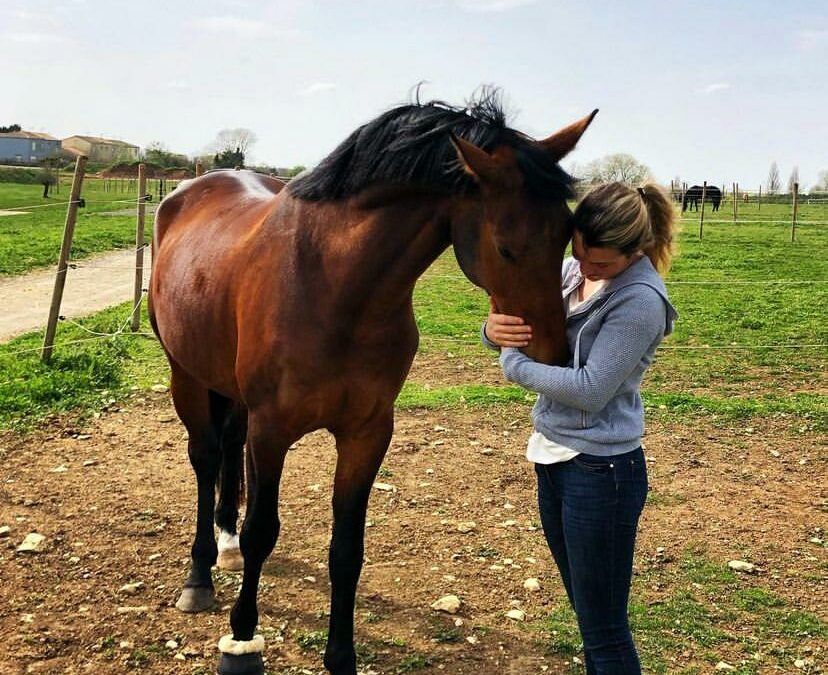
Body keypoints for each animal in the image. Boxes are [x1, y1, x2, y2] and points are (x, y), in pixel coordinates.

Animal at [149, 91, 600, 675]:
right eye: (505, 247)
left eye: (567, 234)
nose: (554, 355)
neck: (334, 286)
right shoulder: (272, 432)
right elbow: (262, 532)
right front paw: (242, 640)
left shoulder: (367, 432)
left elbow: (347, 548)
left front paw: (341, 654)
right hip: (186, 376)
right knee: (205, 459)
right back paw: (199, 575)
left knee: (227, 447)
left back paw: (222, 542)